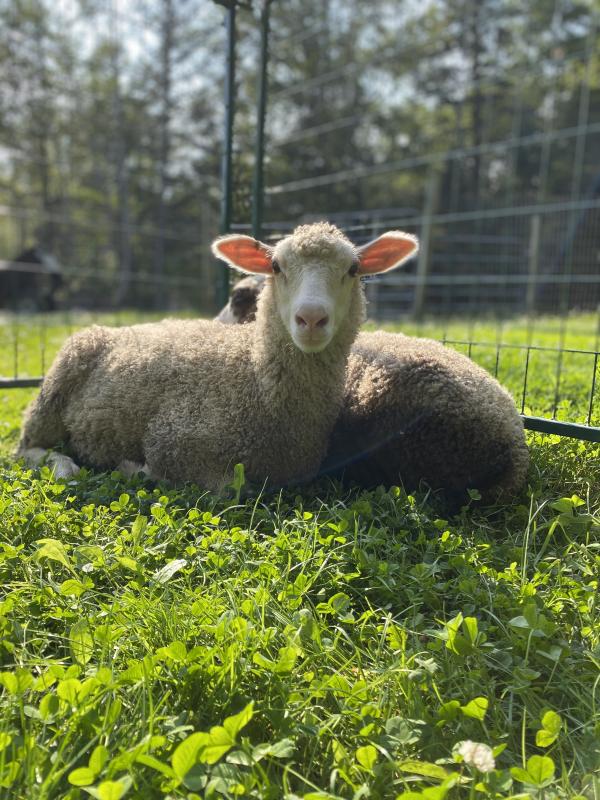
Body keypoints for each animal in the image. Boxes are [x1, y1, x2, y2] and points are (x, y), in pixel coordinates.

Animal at [15, 222, 418, 490]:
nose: (312, 319)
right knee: (26, 450)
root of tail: (116, 328)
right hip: (52, 396)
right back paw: (64, 466)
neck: (252, 375)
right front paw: (131, 468)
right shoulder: (172, 441)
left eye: (353, 269)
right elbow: (228, 488)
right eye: (276, 267)